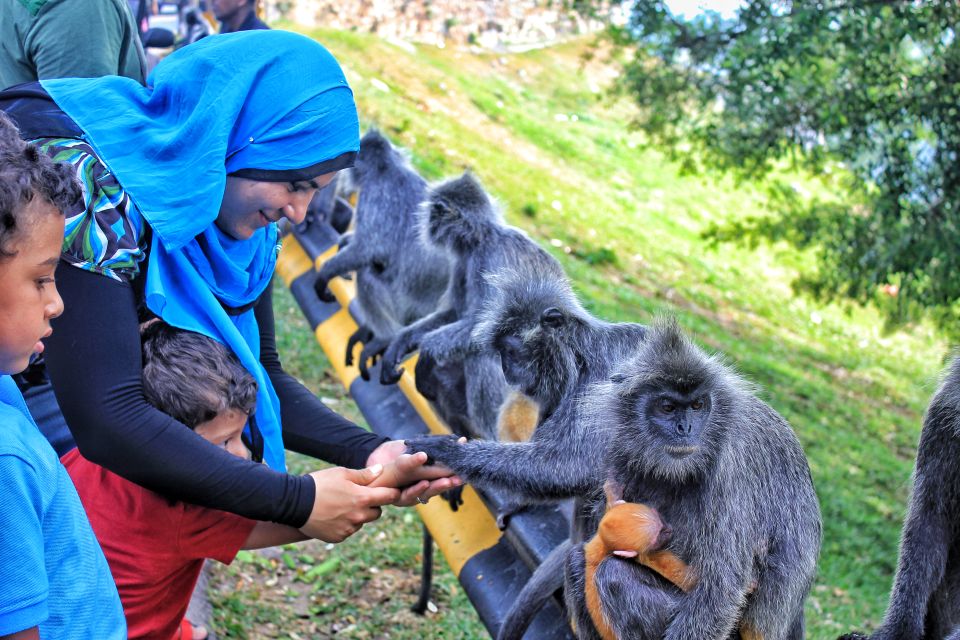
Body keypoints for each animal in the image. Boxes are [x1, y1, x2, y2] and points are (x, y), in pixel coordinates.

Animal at [314, 131, 452, 380]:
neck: (388, 168)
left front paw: (324, 275)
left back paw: (385, 337)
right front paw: (343, 242)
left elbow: (366, 249)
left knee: (368, 276)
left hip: (403, 306)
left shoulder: (376, 194)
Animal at [568, 320, 820, 640]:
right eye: (667, 407)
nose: (685, 428)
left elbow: (721, 593)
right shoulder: (621, 450)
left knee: (614, 574)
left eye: (698, 405)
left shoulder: (730, 473)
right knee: (577, 561)